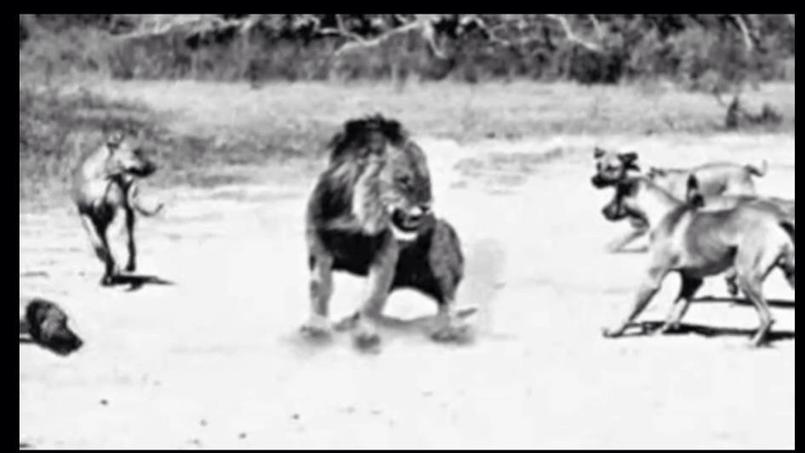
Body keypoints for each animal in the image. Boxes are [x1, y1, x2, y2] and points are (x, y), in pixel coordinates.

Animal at [72, 129, 165, 284]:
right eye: (135, 151)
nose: (154, 166)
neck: (103, 177)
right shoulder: (85, 215)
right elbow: (96, 241)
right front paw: (104, 256)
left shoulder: (119, 212)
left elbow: (112, 239)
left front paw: (114, 257)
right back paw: (108, 271)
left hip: (129, 217)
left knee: (130, 242)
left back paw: (127, 265)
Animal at [300, 115, 464, 348]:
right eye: (404, 180)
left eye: (426, 180)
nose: (427, 206)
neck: (355, 218)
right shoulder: (320, 249)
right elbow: (320, 289)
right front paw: (316, 326)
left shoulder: (385, 253)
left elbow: (372, 297)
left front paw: (366, 334)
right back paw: (348, 321)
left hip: (443, 241)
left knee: (447, 301)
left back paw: (449, 330)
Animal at [604, 175, 792, 344]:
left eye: (616, 196)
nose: (603, 211)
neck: (662, 212)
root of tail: (777, 221)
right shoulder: (692, 280)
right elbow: (678, 307)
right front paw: (666, 328)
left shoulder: (651, 279)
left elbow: (631, 308)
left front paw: (615, 330)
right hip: (788, 275)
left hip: (746, 277)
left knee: (767, 317)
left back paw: (753, 343)